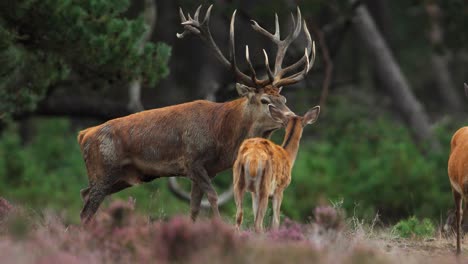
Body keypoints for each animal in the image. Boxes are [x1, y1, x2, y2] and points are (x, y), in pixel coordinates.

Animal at [78, 5, 316, 224]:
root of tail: (84, 135)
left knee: (84, 194)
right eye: (265, 100)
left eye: (283, 99)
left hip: (120, 178)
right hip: (102, 170)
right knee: (86, 210)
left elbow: (193, 208)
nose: (291, 117)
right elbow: (213, 197)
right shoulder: (193, 161)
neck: (223, 137)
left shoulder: (205, 171)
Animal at [233, 104, 320, 232]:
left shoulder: (254, 193)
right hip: (265, 186)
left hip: (238, 182)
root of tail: (253, 159)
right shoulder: (280, 189)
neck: (288, 156)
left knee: (239, 218)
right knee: (258, 224)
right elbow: (276, 221)